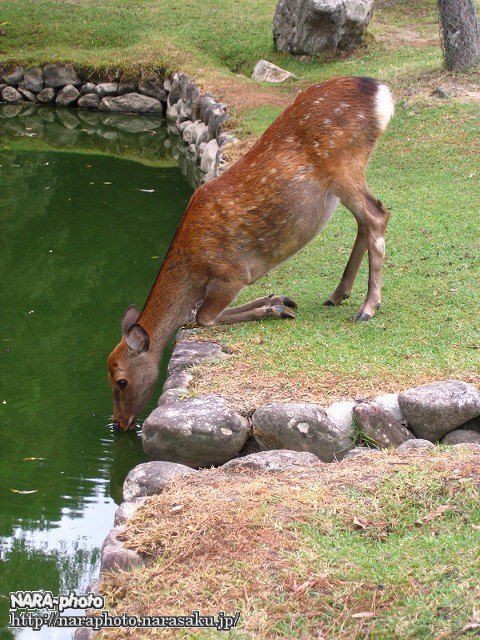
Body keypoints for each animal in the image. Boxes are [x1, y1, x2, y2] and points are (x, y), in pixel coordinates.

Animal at [108, 75, 394, 428]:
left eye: (121, 381)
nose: (119, 423)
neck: (194, 265)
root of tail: (381, 93)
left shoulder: (231, 273)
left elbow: (203, 317)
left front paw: (274, 309)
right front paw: (277, 300)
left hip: (344, 164)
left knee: (377, 216)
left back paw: (368, 307)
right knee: (366, 222)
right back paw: (338, 294)